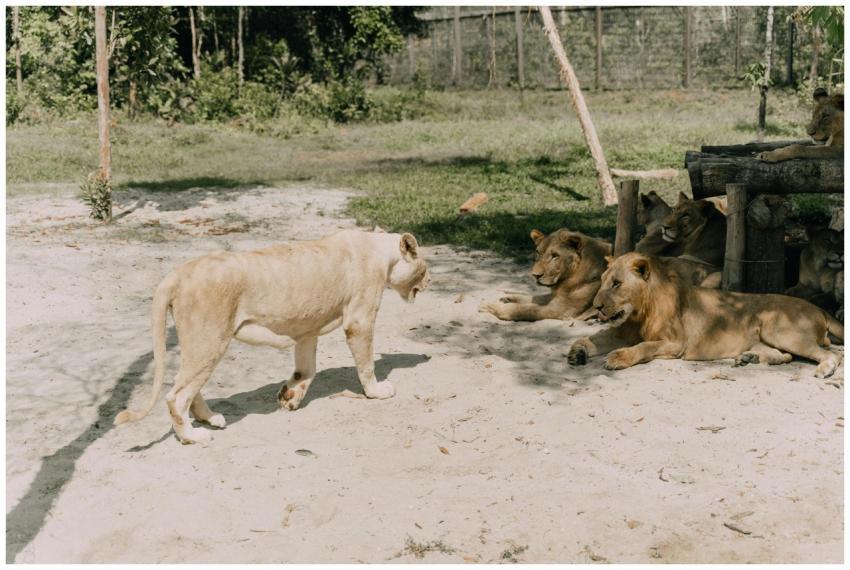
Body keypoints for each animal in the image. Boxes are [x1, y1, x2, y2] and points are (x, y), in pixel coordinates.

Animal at [115, 229, 431, 444]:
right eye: (425, 264)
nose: (430, 280)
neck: (380, 252)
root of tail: (176, 274)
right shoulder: (359, 320)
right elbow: (366, 363)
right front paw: (377, 391)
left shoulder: (307, 328)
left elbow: (306, 368)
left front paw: (289, 397)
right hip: (209, 340)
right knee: (176, 395)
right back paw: (192, 436)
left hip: (198, 344)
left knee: (189, 386)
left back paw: (210, 419)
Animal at [478, 228, 612, 321]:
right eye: (538, 253)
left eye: (555, 256)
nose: (535, 275)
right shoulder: (556, 297)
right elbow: (533, 298)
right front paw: (508, 298)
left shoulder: (561, 309)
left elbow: (522, 309)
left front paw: (490, 305)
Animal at [567, 252, 842, 378]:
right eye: (603, 281)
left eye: (616, 284)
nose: (597, 306)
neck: (639, 313)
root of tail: (818, 308)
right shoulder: (622, 332)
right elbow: (593, 339)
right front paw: (577, 351)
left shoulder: (675, 342)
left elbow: (644, 347)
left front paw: (618, 358)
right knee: (785, 356)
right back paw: (748, 358)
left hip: (778, 328)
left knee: (831, 354)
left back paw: (824, 369)